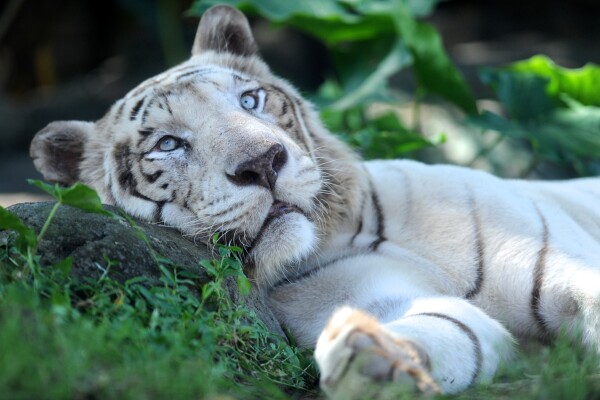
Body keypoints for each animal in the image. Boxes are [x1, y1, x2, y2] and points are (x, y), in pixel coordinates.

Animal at [29, 4, 600, 396]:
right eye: (168, 144)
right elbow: (448, 327)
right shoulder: (376, 298)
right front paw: (374, 357)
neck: (360, 230)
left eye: (250, 99)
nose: (262, 162)